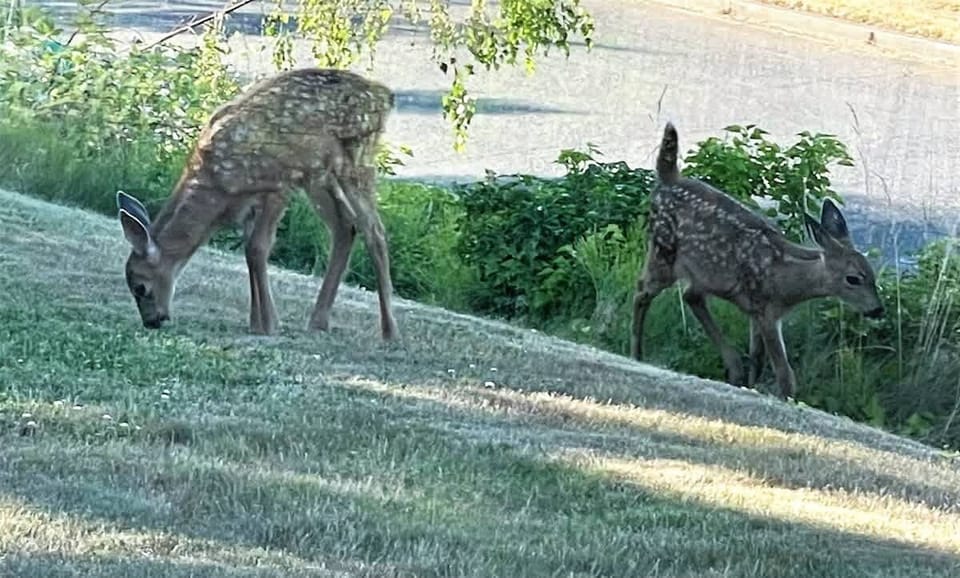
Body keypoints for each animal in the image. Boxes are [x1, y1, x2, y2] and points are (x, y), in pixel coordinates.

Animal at [115, 67, 399, 340]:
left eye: (141, 287)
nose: (152, 321)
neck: (218, 187)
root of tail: (385, 96)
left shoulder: (276, 185)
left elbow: (257, 248)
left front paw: (269, 325)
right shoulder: (249, 204)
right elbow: (249, 252)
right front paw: (256, 321)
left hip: (355, 160)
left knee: (375, 231)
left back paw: (390, 332)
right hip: (319, 176)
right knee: (345, 228)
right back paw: (318, 322)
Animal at [631, 122, 884, 399]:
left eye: (873, 275)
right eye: (853, 279)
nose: (877, 309)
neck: (786, 278)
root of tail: (667, 179)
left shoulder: (756, 311)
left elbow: (758, 358)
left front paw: (751, 386)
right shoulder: (766, 310)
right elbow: (785, 374)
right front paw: (786, 398)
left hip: (704, 273)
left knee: (690, 296)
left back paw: (734, 368)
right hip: (663, 250)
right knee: (642, 292)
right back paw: (637, 354)